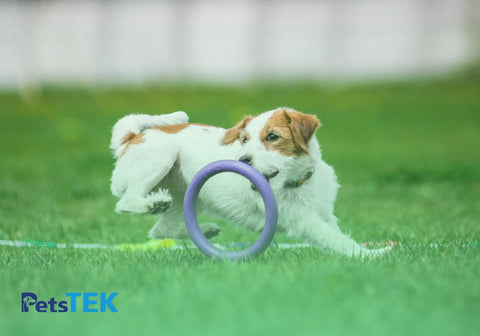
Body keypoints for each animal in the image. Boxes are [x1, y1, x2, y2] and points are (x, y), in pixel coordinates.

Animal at [110, 107, 392, 258]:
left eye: (273, 136)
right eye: (244, 139)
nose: (242, 160)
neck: (298, 182)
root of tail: (132, 136)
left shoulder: (323, 215)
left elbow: (336, 233)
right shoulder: (304, 220)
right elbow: (335, 239)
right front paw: (372, 255)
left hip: (185, 198)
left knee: (161, 230)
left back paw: (206, 230)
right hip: (160, 159)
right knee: (125, 202)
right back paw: (152, 204)